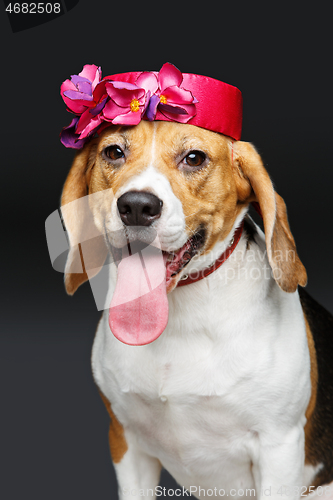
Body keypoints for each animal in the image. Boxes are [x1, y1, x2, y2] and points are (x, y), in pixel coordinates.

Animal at [60, 119, 332, 498]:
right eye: (113, 152)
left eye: (194, 158)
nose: (137, 206)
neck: (180, 319)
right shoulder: (126, 441)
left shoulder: (279, 449)